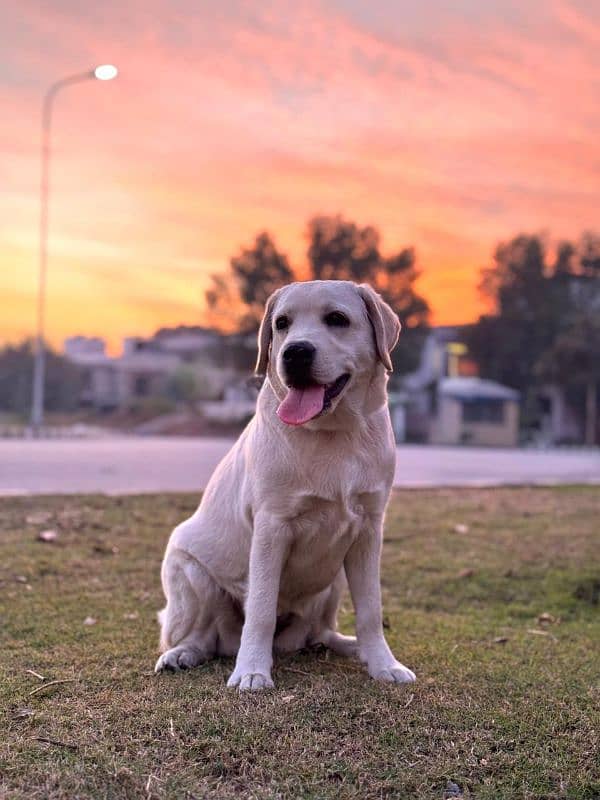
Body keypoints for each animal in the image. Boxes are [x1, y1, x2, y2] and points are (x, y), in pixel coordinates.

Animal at [156, 280, 418, 688]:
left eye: (337, 319)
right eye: (281, 324)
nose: (295, 353)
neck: (333, 434)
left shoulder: (368, 529)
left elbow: (371, 610)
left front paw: (383, 663)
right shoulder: (272, 526)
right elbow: (262, 608)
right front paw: (251, 671)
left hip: (332, 578)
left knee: (318, 633)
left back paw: (349, 646)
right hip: (190, 572)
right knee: (204, 637)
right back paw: (182, 654)